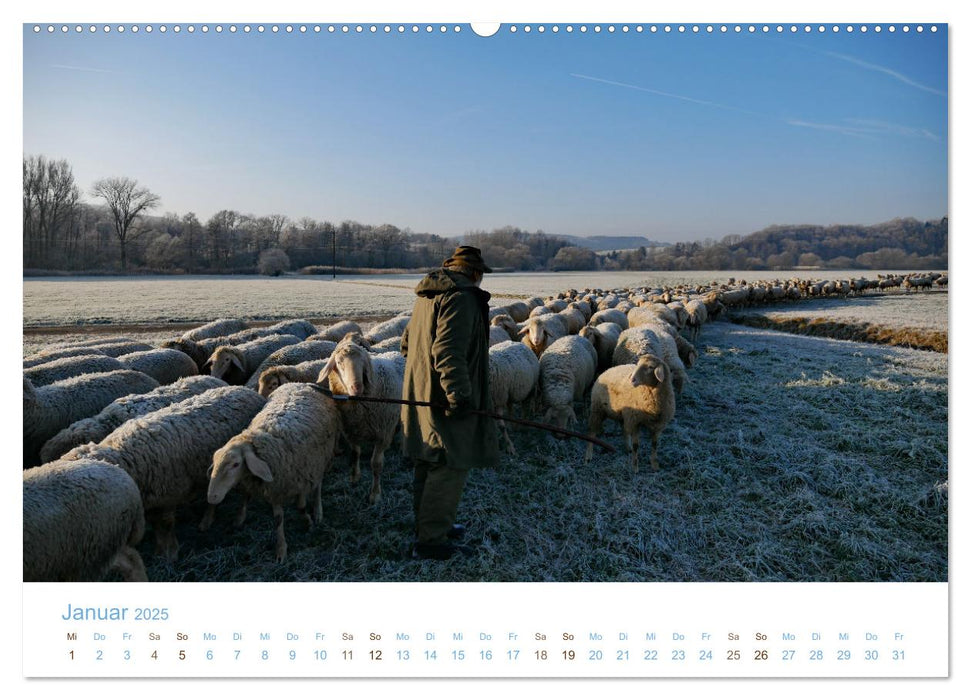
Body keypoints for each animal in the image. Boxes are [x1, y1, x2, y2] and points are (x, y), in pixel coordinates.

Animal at [318, 340, 402, 504]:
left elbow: (376, 464)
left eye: (363, 362)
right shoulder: (351, 430)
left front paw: (375, 494)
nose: (357, 387)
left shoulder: (382, 433)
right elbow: (355, 453)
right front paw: (354, 477)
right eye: (339, 363)